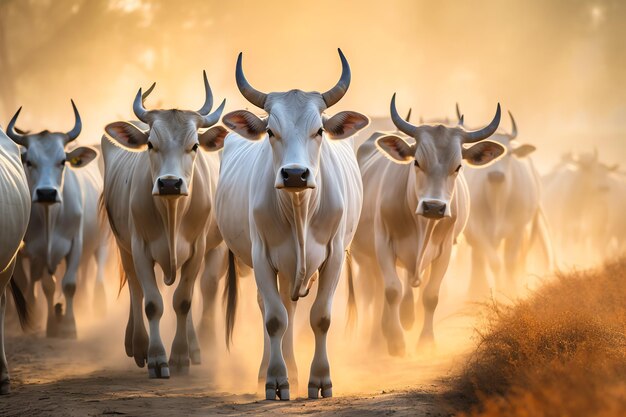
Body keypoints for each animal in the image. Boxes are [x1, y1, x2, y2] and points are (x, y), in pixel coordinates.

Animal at [6, 103, 101, 338]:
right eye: (29, 162)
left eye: (62, 161)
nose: (47, 193)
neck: (51, 216)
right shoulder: (34, 250)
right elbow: (47, 285)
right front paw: (50, 324)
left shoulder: (76, 243)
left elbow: (69, 284)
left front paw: (69, 326)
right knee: (31, 282)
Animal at [217, 49, 368, 400]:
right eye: (271, 132)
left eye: (320, 131)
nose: (296, 174)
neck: (300, 209)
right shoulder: (261, 256)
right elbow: (275, 319)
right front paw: (276, 380)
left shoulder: (334, 257)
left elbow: (321, 317)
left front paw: (320, 381)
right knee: (274, 309)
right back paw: (269, 371)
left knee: (292, 307)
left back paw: (296, 371)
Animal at [458, 106, 552, 296]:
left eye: (508, 153)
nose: (496, 176)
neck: (497, 201)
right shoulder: (478, 229)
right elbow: (494, 261)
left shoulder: (518, 229)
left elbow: (510, 261)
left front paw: (510, 289)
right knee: (478, 258)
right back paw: (475, 288)